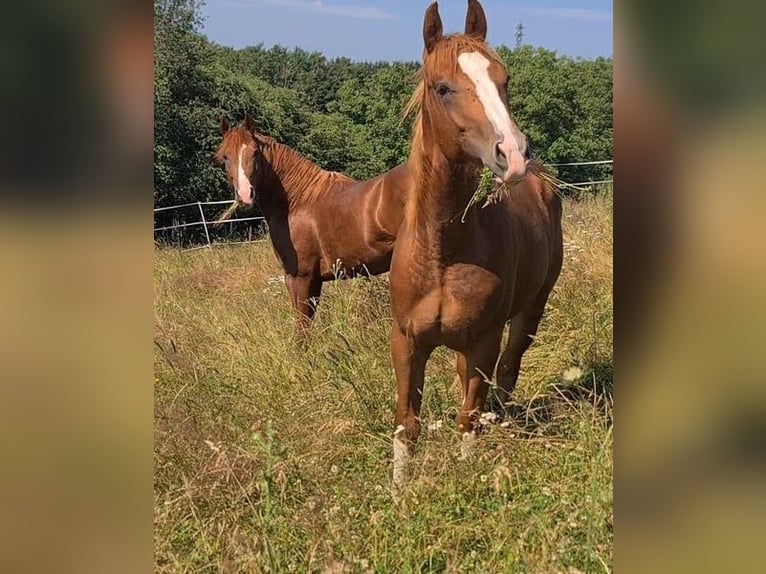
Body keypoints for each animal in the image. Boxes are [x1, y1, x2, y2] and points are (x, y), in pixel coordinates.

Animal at [214, 116, 410, 336]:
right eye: (225, 156)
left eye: (255, 152)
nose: (245, 195)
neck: (297, 202)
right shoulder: (314, 280)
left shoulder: (300, 277)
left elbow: (302, 327)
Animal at [389, 0, 563, 491]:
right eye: (442, 88)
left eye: (504, 80)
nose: (514, 154)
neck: (443, 253)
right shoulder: (406, 342)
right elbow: (407, 423)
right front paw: (398, 493)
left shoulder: (484, 339)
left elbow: (470, 417)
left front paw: (468, 479)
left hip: (531, 309)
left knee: (508, 370)